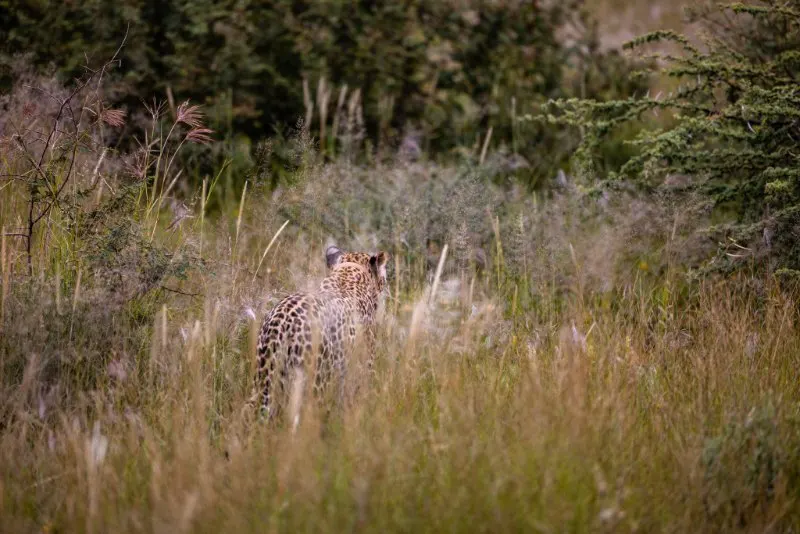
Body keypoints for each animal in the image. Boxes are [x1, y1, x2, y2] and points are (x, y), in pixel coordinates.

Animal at [253, 245, 390, 420]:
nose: (384, 285)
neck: (349, 270)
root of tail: (282, 320)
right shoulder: (365, 364)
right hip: (314, 381)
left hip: (264, 378)